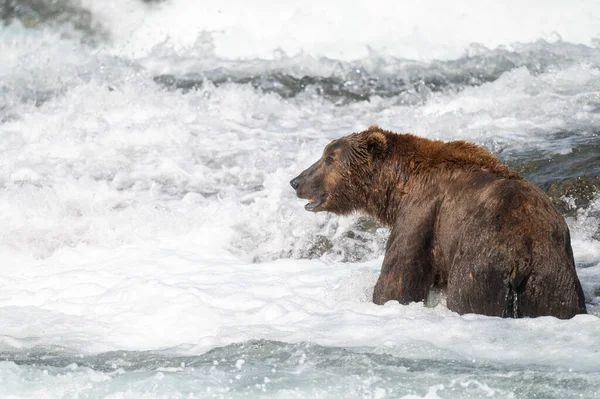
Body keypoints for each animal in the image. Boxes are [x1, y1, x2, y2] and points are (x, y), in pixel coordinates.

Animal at [290, 126, 584, 320]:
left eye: (329, 158)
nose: (296, 181)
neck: (398, 186)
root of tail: (523, 253)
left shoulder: (421, 214)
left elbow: (398, 279)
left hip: (481, 264)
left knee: (468, 297)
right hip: (552, 276)